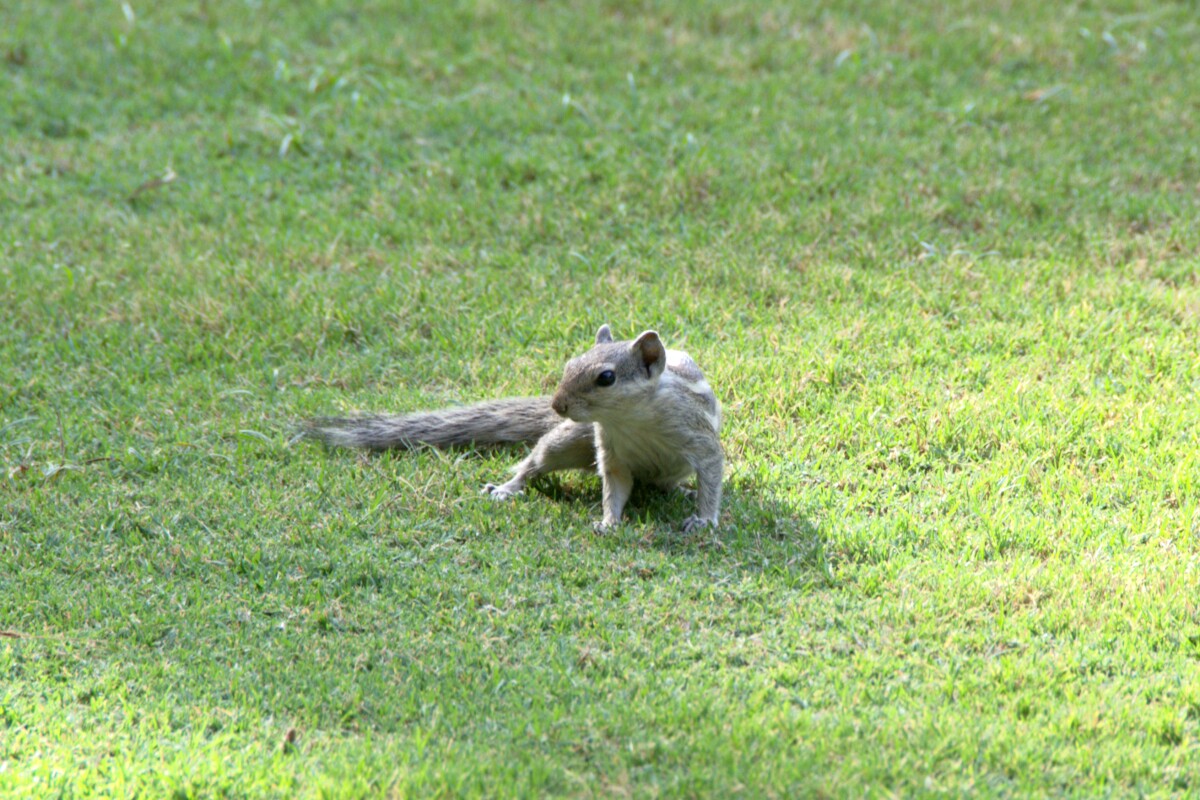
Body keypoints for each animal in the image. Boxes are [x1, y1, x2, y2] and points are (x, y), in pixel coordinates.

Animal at [307, 326, 720, 532]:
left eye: (606, 378)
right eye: (570, 364)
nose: (558, 406)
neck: (631, 419)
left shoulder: (698, 438)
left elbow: (711, 475)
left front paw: (703, 519)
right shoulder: (611, 451)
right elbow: (614, 488)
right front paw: (608, 521)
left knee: (665, 483)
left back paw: (682, 491)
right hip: (569, 439)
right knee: (533, 463)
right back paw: (506, 489)